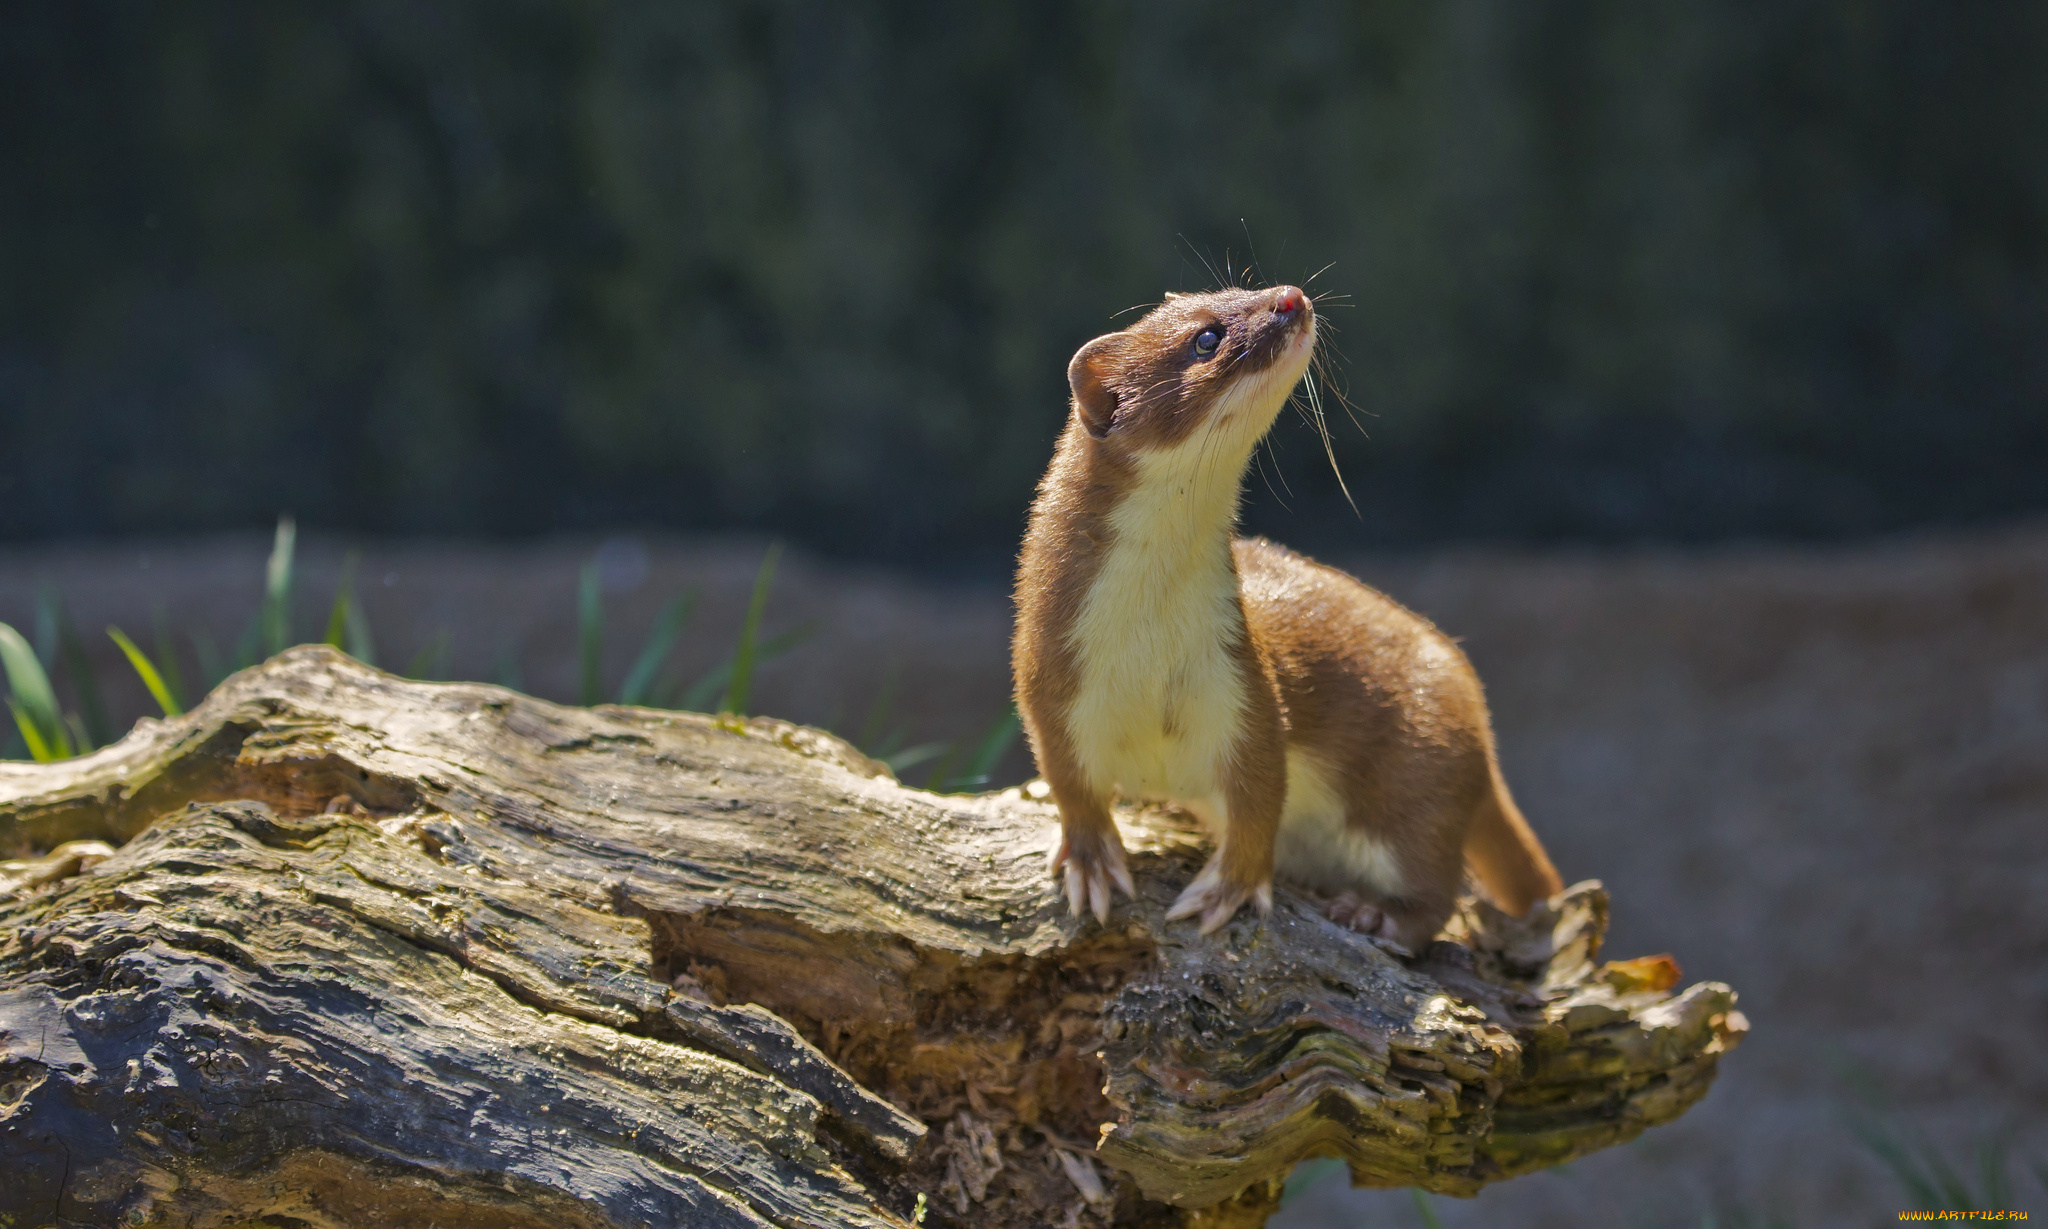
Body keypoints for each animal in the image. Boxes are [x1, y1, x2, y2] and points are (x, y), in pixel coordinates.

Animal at [1011, 282, 1564, 946]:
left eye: (1241, 282)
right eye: (1207, 335)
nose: (1292, 297)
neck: (1148, 649)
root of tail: (1478, 721)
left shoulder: (1242, 688)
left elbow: (1259, 798)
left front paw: (1228, 889)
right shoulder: (1049, 685)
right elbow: (1070, 784)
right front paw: (1091, 863)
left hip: (1417, 772)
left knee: (1435, 887)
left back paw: (1371, 911)